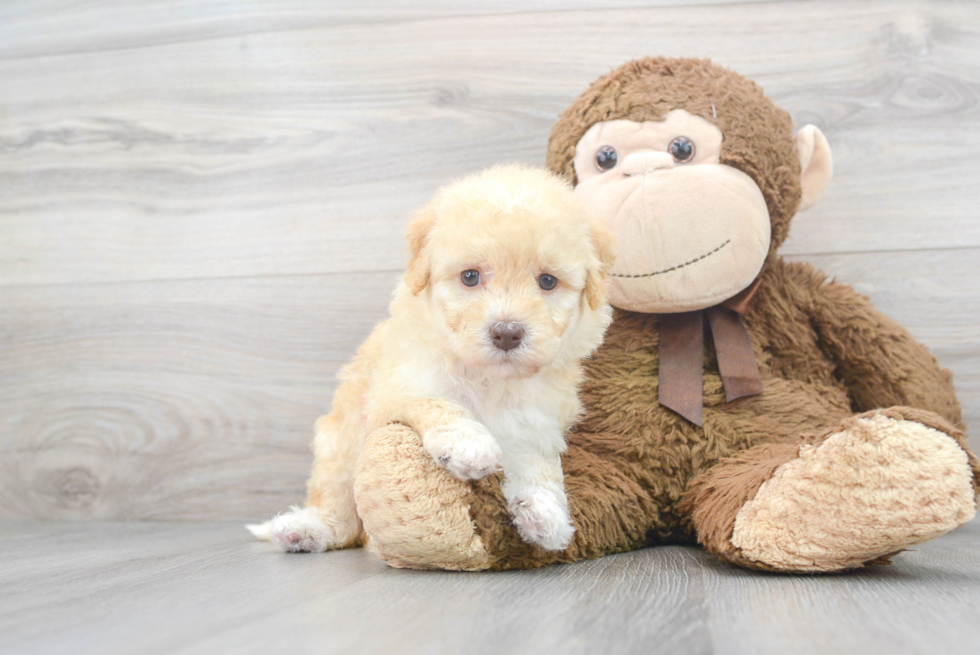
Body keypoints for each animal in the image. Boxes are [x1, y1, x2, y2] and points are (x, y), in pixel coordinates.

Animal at [247, 164, 612, 552]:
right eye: (470, 277)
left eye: (547, 281)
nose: (507, 332)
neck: (490, 379)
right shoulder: (397, 391)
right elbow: (438, 403)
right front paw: (468, 444)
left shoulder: (534, 424)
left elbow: (537, 464)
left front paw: (544, 513)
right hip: (338, 444)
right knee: (341, 510)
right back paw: (308, 529)